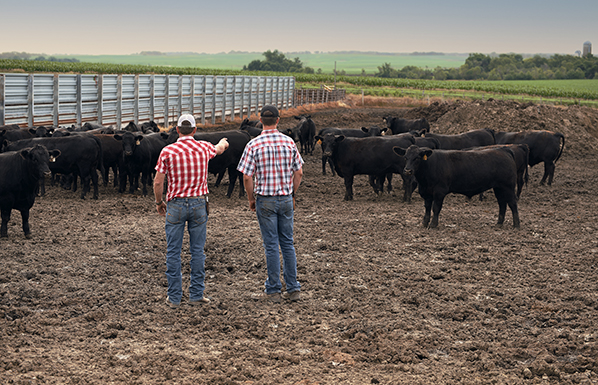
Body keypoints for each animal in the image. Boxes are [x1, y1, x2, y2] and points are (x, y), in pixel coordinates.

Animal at [396, 144, 524, 228]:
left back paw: (516, 225)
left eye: (417, 157)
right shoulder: (426, 192)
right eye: (405, 157)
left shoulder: (439, 191)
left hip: (508, 186)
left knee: (512, 204)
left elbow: (436, 208)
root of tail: (504, 149)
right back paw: (499, 223)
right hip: (498, 187)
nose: (407, 170)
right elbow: (427, 207)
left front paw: (433, 224)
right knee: (502, 204)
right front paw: (424, 223)